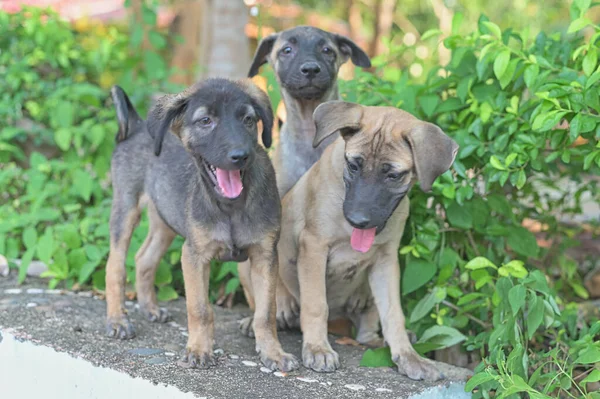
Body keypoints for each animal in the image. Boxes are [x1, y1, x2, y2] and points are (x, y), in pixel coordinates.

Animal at [105, 77, 300, 372]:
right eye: (205, 120)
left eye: (248, 120)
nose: (240, 155)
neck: (230, 206)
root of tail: (138, 125)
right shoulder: (194, 255)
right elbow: (199, 308)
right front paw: (198, 349)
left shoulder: (264, 255)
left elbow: (266, 312)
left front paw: (273, 353)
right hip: (126, 207)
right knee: (115, 265)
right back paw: (118, 319)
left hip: (166, 219)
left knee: (144, 258)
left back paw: (150, 308)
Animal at [270, 101, 454, 380]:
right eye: (353, 165)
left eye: (393, 175)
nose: (357, 220)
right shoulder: (314, 247)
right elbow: (316, 305)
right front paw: (317, 348)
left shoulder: (387, 260)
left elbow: (393, 314)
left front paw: (408, 356)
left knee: (366, 330)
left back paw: (378, 340)